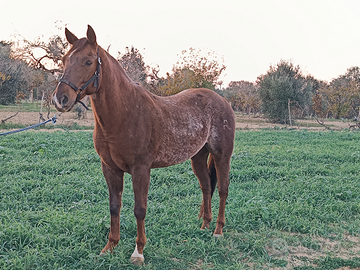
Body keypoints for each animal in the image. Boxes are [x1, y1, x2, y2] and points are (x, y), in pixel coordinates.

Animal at [51, 25, 236, 264]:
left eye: (88, 61)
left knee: (222, 189)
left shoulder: (141, 170)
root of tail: (222, 101)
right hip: (198, 157)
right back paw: (204, 226)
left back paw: (218, 231)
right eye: (65, 59)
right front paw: (110, 247)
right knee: (205, 186)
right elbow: (114, 206)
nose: (60, 99)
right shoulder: (110, 168)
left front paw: (138, 252)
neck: (124, 114)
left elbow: (140, 209)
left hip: (222, 155)